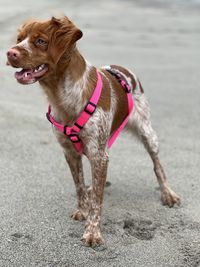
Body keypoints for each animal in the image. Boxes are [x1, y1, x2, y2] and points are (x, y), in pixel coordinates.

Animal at [7, 16, 180, 247]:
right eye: (19, 39)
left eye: (41, 41)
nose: (10, 53)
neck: (63, 96)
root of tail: (121, 68)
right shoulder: (70, 151)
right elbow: (80, 185)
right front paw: (82, 209)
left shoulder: (98, 154)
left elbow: (98, 200)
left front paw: (93, 232)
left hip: (147, 132)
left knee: (157, 165)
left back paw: (168, 194)